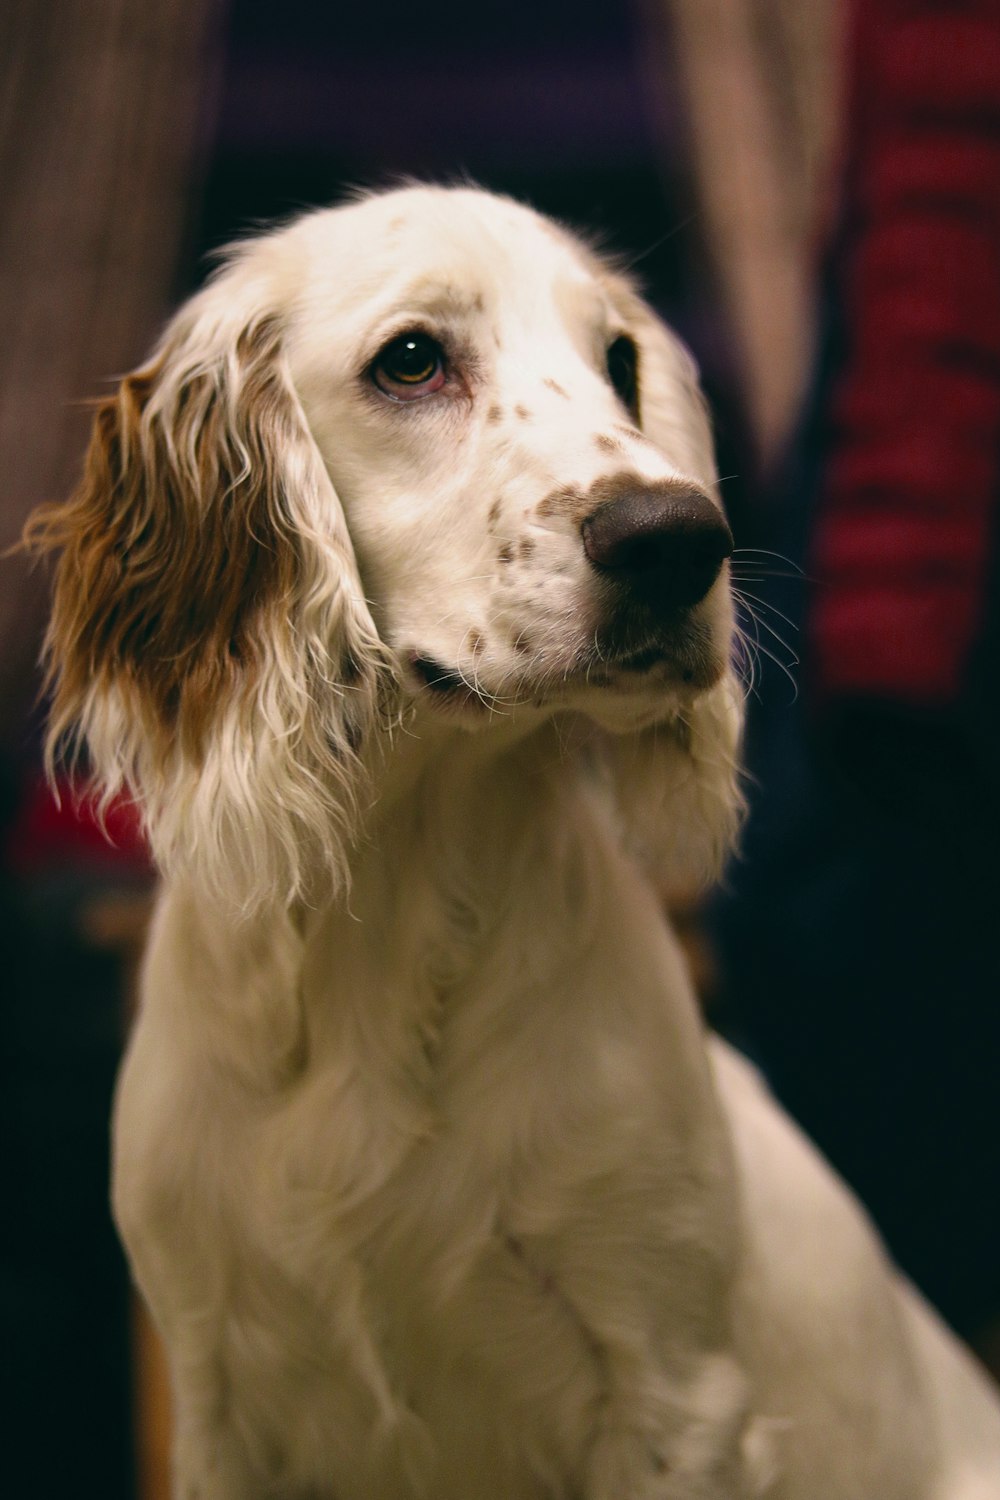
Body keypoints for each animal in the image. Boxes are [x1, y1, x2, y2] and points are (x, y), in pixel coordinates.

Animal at [27, 187, 1000, 1500]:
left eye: (621, 362)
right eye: (411, 359)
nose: (681, 540)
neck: (394, 894)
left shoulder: (673, 1396)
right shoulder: (218, 1402)